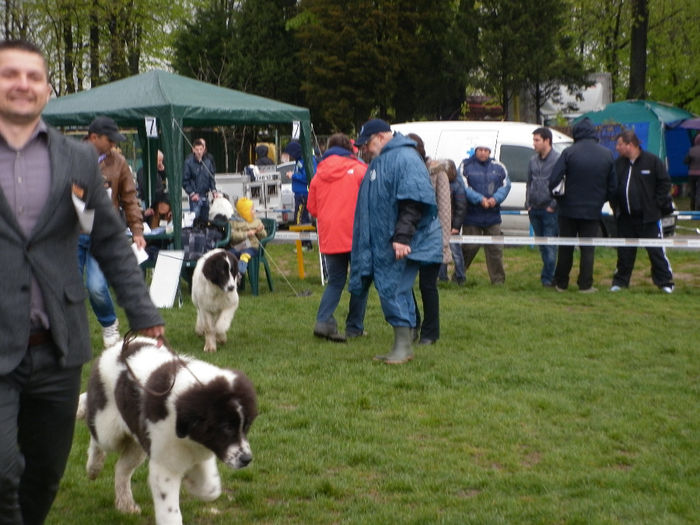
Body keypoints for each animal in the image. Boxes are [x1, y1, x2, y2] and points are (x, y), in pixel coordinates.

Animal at [76, 336, 258, 524]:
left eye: (246, 426)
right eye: (226, 428)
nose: (246, 459)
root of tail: (117, 344)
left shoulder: (201, 451)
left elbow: (211, 488)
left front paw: (191, 482)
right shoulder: (165, 466)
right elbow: (170, 511)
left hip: (138, 442)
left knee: (122, 467)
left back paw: (126, 504)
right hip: (108, 429)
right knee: (98, 436)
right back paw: (93, 466)